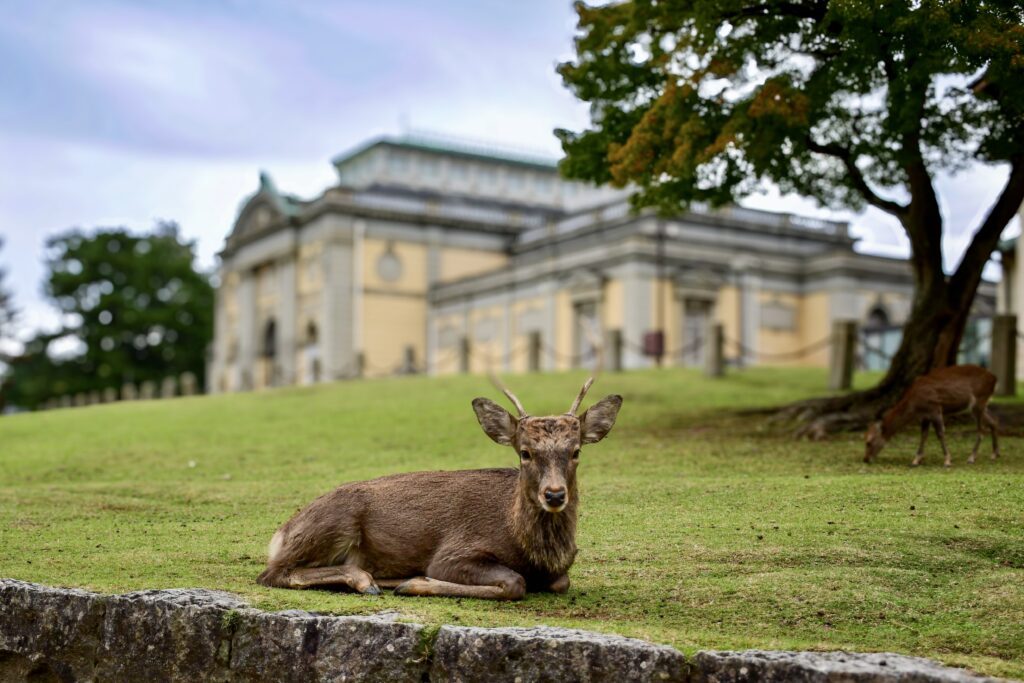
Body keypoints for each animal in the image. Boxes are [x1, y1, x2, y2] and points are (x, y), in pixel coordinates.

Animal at [258, 382, 622, 602]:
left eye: (575, 451)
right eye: (525, 452)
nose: (555, 495)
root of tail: (281, 532)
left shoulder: (559, 572)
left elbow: (562, 582)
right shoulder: (455, 552)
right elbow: (513, 582)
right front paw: (418, 582)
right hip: (332, 525)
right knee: (272, 573)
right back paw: (368, 580)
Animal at [864, 362, 999, 471]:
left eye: (869, 442)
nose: (865, 459)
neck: (914, 405)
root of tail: (994, 378)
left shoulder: (935, 408)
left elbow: (940, 433)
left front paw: (947, 461)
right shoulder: (925, 416)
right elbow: (923, 436)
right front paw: (916, 461)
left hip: (979, 400)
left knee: (982, 430)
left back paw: (971, 458)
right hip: (979, 406)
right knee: (993, 422)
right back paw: (994, 454)